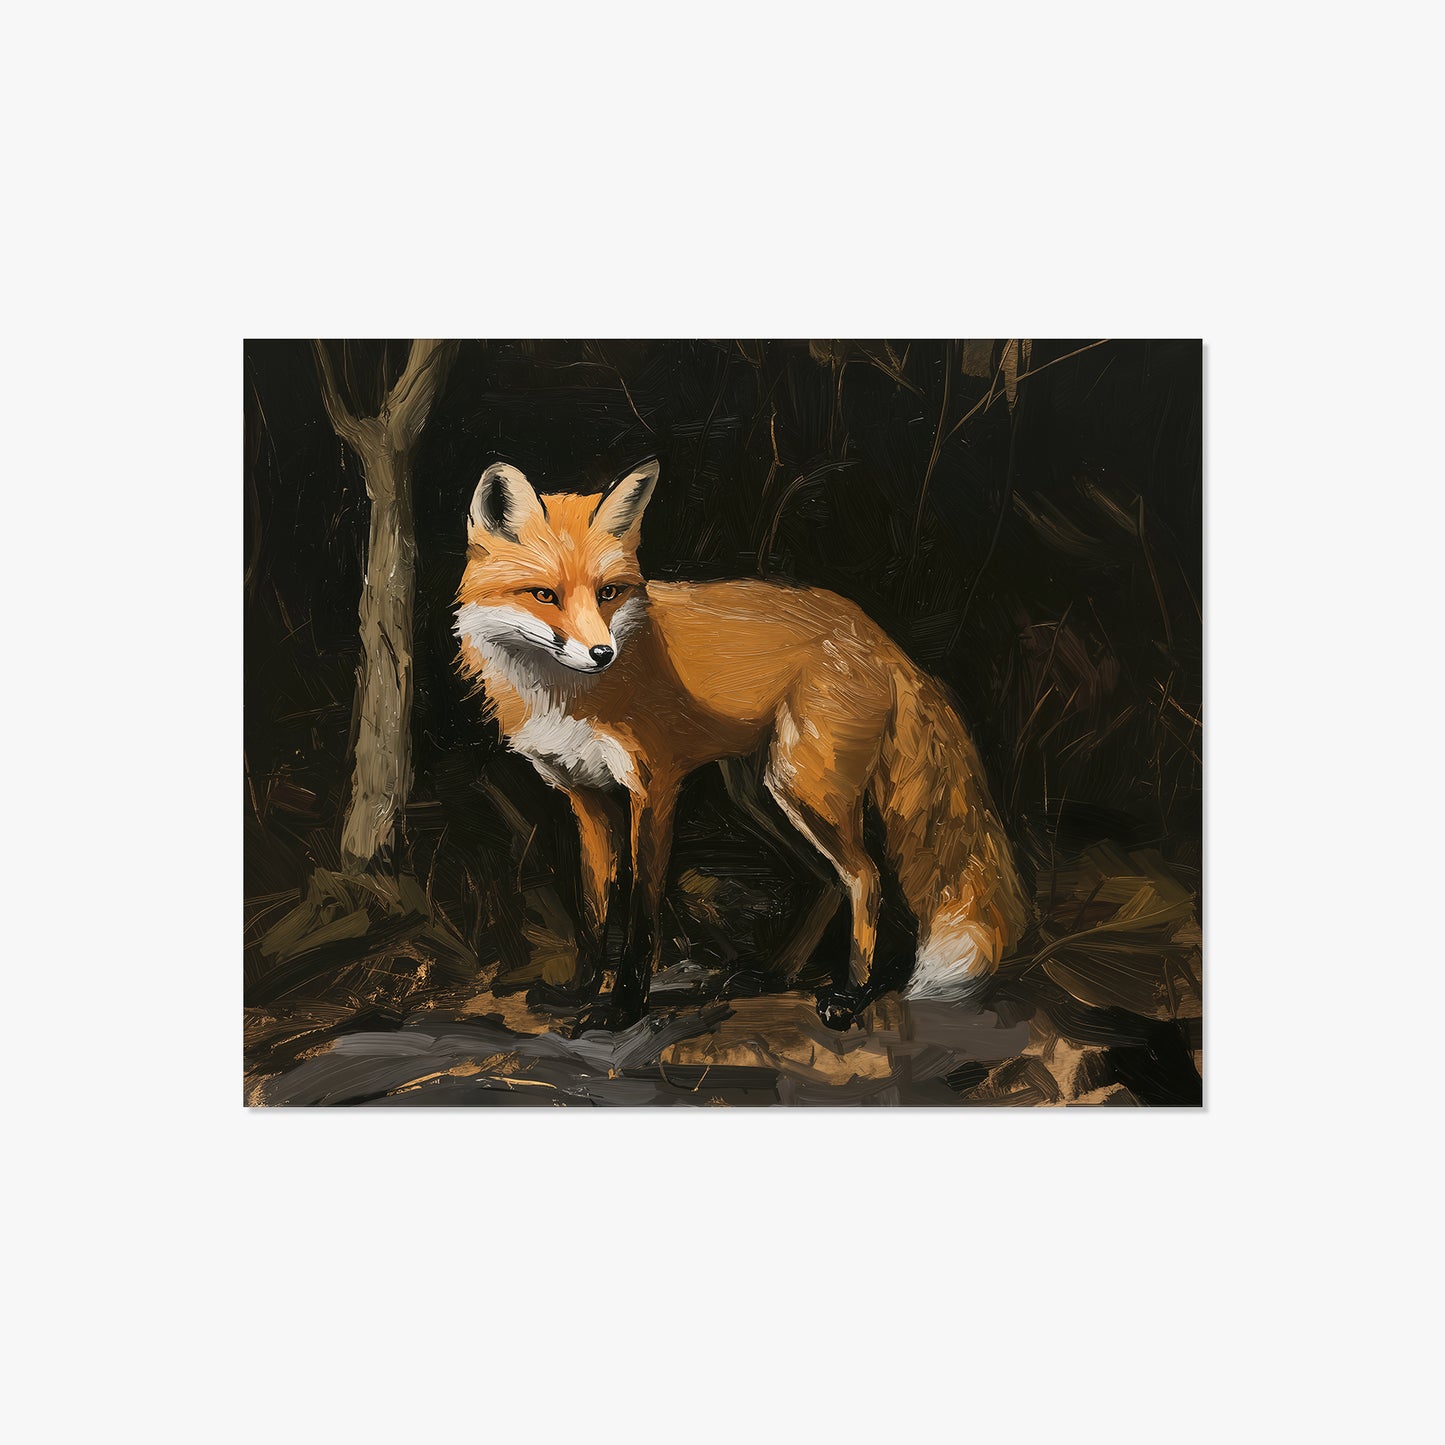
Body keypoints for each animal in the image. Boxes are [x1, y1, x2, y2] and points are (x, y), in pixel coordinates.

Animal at [454, 456, 1030, 1034]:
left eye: (608, 593)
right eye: (544, 595)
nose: (602, 653)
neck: (566, 696)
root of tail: (878, 634)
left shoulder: (654, 789)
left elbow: (641, 913)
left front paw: (624, 1009)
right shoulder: (584, 797)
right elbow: (594, 910)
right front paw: (579, 991)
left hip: (804, 789)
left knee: (866, 878)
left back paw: (849, 995)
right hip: (761, 796)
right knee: (827, 881)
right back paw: (775, 976)